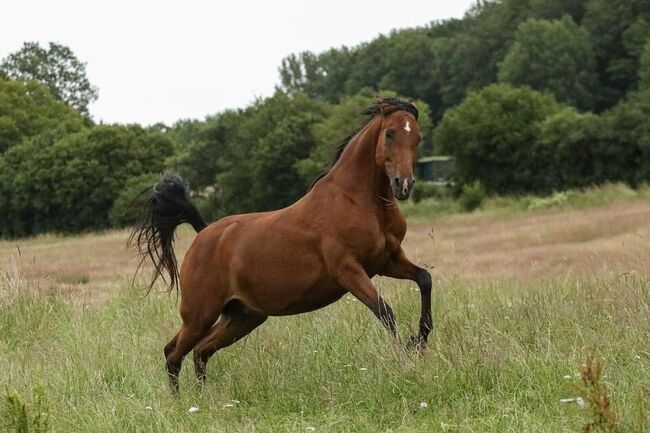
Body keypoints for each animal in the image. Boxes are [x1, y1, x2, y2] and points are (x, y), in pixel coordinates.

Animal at [129, 97, 430, 392]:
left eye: (418, 137)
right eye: (389, 133)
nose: (403, 185)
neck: (356, 201)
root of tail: (203, 234)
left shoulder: (387, 260)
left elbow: (424, 279)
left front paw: (420, 342)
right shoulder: (348, 269)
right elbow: (385, 311)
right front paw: (405, 358)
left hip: (243, 317)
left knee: (200, 351)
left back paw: (203, 399)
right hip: (199, 314)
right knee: (173, 352)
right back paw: (180, 402)